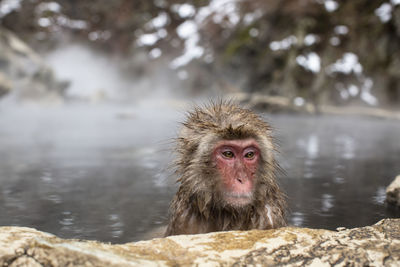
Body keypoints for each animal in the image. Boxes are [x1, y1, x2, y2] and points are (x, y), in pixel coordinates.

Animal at [164, 101, 286, 237]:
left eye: (249, 155)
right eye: (228, 154)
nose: (242, 179)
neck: (228, 216)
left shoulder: (270, 216)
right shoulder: (183, 218)